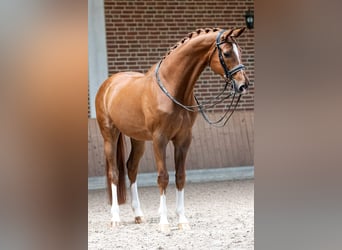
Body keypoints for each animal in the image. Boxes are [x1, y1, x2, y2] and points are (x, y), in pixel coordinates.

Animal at [95, 27, 250, 232]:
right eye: (226, 53)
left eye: (241, 51)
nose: (243, 85)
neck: (172, 88)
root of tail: (109, 83)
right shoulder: (159, 139)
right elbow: (163, 177)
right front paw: (164, 222)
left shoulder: (183, 140)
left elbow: (180, 177)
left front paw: (182, 220)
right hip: (109, 135)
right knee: (114, 173)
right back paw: (115, 218)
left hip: (138, 139)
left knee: (131, 169)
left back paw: (138, 215)